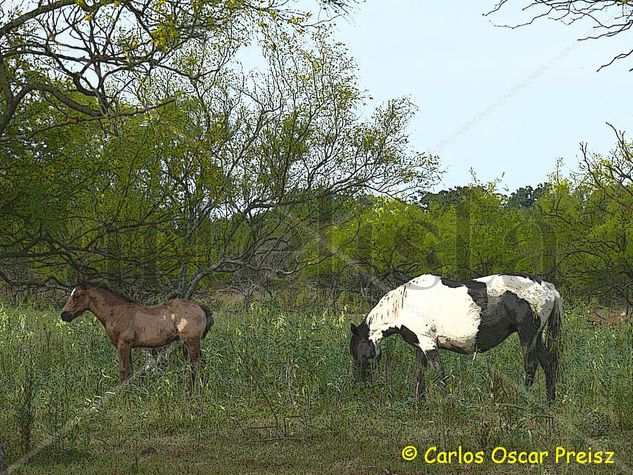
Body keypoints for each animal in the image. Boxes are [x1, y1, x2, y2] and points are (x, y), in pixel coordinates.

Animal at [61, 284, 215, 384]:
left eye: (76, 296)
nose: (64, 315)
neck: (117, 313)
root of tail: (200, 307)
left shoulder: (123, 344)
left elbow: (123, 372)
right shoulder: (128, 347)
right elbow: (130, 372)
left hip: (192, 342)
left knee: (197, 366)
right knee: (194, 367)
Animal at [350, 276, 564, 402]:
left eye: (357, 351)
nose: (361, 383)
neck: (403, 305)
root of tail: (549, 288)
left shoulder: (428, 344)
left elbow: (439, 372)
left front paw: (446, 402)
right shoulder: (419, 345)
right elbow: (420, 374)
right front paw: (420, 403)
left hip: (527, 335)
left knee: (531, 367)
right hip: (537, 338)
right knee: (549, 365)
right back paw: (549, 402)